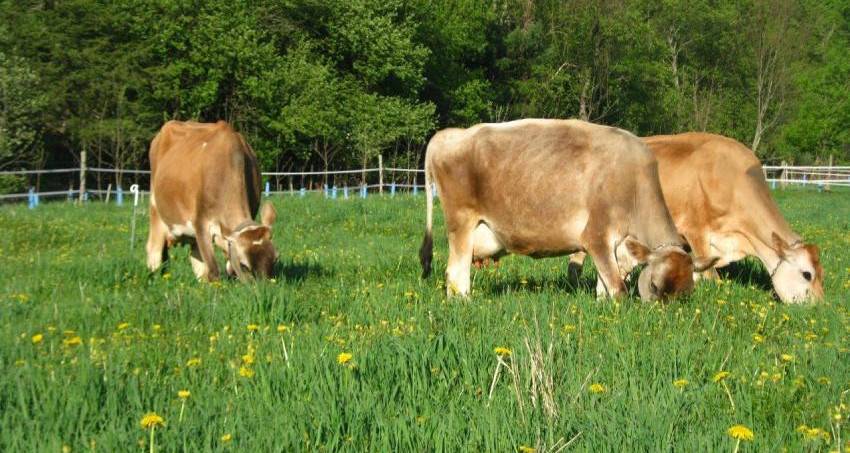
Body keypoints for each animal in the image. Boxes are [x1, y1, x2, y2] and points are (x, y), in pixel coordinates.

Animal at [147, 120, 278, 278]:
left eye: (276, 259)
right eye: (244, 265)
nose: (264, 284)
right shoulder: (201, 223)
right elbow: (213, 270)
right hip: (156, 210)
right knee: (155, 251)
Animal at [418, 118, 716, 298]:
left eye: (686, 293)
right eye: (654, 285)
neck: (634, 183)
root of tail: (450, 135)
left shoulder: (615, 247)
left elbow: (604, 288)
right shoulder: (596, 236)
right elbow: (617, 289)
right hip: (461, 225)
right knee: (456, 275)